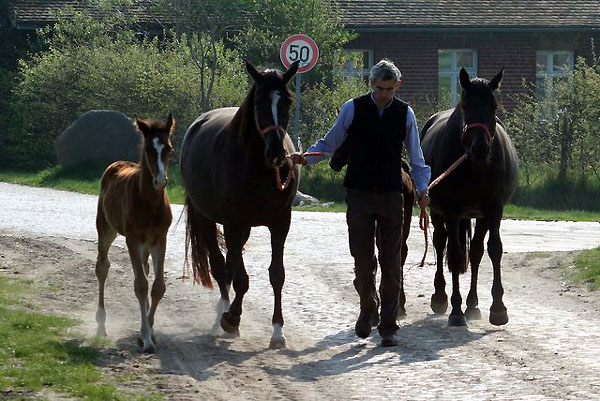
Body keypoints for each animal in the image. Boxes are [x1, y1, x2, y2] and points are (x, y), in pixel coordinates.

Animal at [94, 112, 173, 350]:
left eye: (169, 148)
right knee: (102, 267)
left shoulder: (160, 239)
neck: (150, 203)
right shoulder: (132, 239)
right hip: (105, 229)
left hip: (146, 244)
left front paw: (149, 332)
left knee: (145, 269)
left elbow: (157, 287)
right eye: (148, 148)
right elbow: (140, 285)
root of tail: (116, 164)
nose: (160, 180)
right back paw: (101, 326)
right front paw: (145, 337)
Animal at [178, 59, 300, 346]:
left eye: (287, 101)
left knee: (229, 266)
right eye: (258, 102)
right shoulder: (233, 223)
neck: (259, 169)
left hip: (243, 229)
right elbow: (241, 280)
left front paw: (277, 330)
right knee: (219, 266)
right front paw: (231, 319)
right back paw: (221, 315)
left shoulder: (280, 223)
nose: (277, 153)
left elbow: (276, 275)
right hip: (208, 219)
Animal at [420, 68, 516, 324]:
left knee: (475, 252)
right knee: (440, 242)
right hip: (437, 211)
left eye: (493, 105)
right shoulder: (451, 210)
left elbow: (493, 249)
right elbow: (453, 254)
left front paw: (498, 308)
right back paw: (441, 297)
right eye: (465, 105)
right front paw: (455, 310)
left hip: (478, 215)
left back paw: (472, 304)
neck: (475, 166)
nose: (480, 148)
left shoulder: (493, 209)